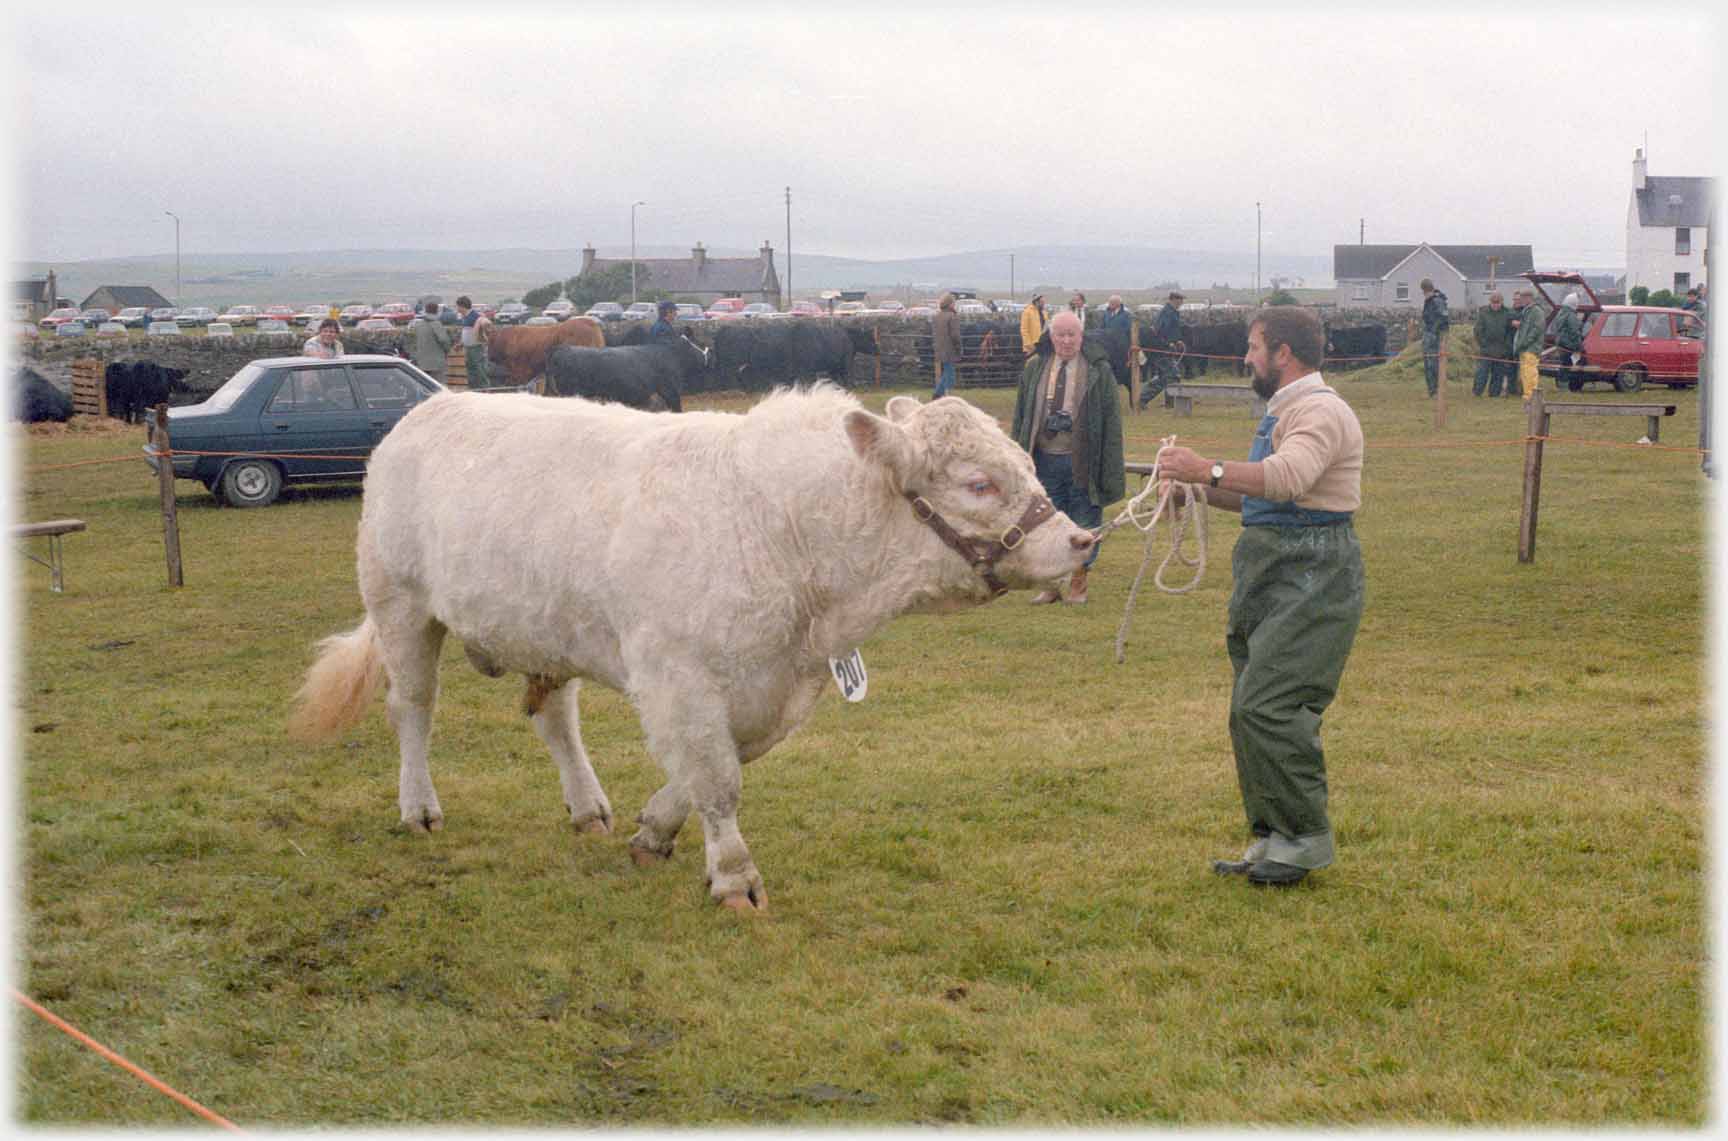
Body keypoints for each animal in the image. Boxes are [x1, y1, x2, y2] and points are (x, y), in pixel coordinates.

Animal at [288, 387, 1085, 912]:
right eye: (978, 483)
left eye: (1022, 462)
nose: (1081, 541)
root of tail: (430, 407)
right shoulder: (679, 675)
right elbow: (717, 777)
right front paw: (733, 876)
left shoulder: (772, 690)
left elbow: (716, 765)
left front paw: (654, 829)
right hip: (400, 604)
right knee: (413, 708)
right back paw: (419, 806)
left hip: (549, 629)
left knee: (556, 718)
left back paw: (588, 807)